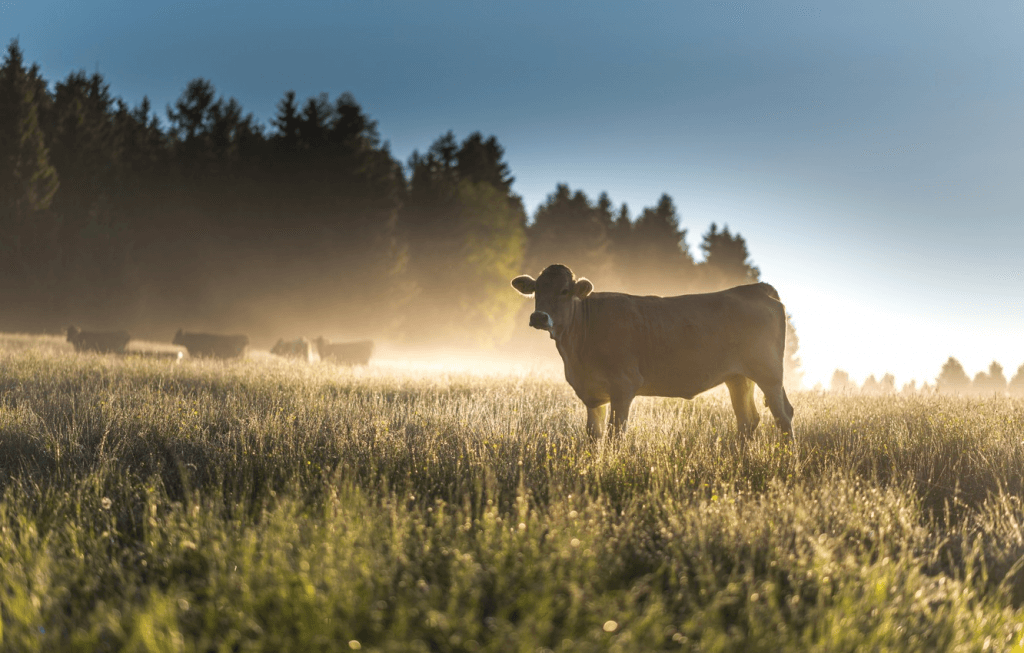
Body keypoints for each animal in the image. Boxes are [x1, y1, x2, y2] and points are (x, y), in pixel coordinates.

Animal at [509, 264, 790, 440]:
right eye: (536, 290)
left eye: (564, 291)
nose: (539, 317)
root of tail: (755, 288)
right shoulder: (593, 394)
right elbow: (593, 435)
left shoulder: (623, 386)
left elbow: (614, 434)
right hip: (738, 377)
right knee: (747, 420)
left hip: (769, 374)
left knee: (783, 415)